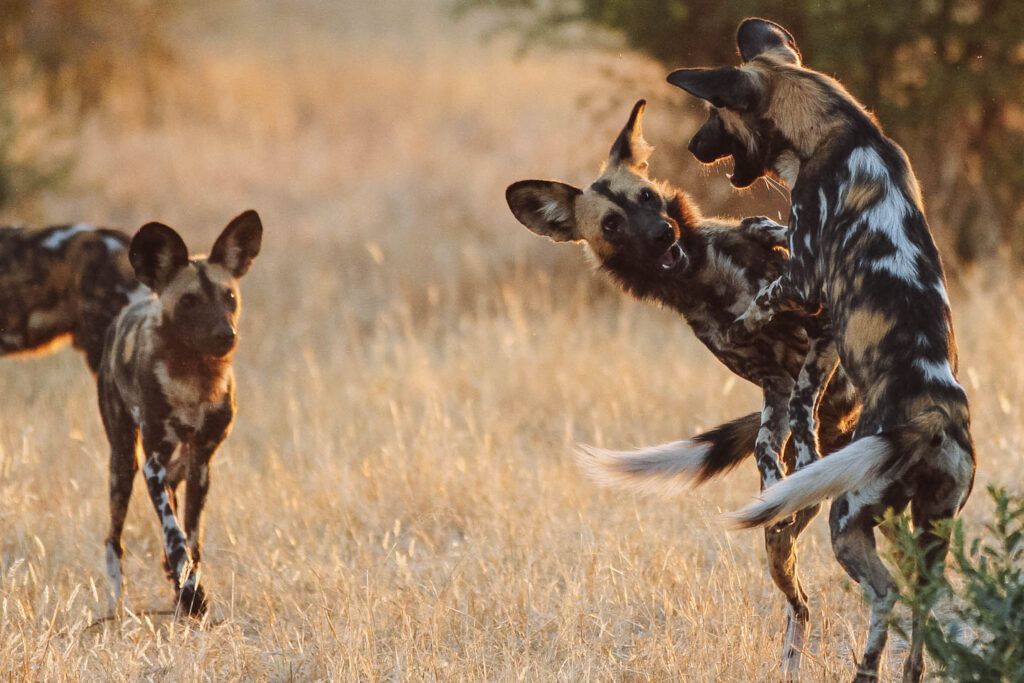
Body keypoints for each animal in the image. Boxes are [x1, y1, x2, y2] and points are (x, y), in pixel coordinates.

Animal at [98, 210, 262, 618]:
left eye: (229, 297)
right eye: (188, 301)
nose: (225, 335)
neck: (194, 380)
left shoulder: (201, 463)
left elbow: (191, 539)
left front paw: (188, 590)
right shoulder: (153, 463)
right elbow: (175, 535)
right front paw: (191, 594)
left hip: (177, 465)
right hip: (123, 464)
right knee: (113, 541)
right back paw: (116, 606)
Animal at [507, 100, 860, 679]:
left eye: (647, 197)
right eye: (612, 223)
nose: (661, 233)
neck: (707, 279)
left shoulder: (821, 330)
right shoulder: (775, 384)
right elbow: (773, 436)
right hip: (780, 545)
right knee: (799, 598)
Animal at [671, 17, 974, 683]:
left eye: (712, 114)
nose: (693, 146)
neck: (840, 130)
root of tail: (933, 414)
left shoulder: (808, 277)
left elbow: (763, 298)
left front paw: (738, 325)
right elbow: (776, 230)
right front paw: (759, 226)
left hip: (847, 518)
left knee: (884, 594)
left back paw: (867, 668)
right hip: (928, 532)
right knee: (923, 601)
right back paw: (906, 671)